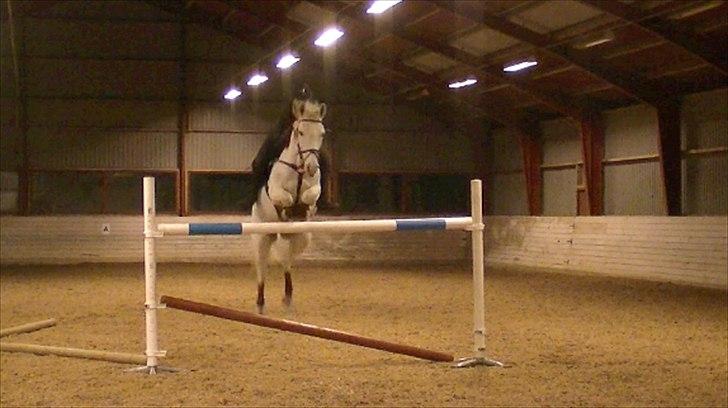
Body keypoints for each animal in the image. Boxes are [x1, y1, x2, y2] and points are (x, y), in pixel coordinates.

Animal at [245, 90, 328, 313]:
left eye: (321, 134)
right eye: (300, 132)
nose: (311, 167)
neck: (298, 168)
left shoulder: (315, 189)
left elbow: (310, 195)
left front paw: (304, 208)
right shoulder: (275, 190)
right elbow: (286, 197)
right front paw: (289, 209)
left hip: (301, 238)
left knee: (287, 261)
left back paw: (288, 295)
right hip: (262, 237)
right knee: (262, 268)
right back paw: (260, 302)